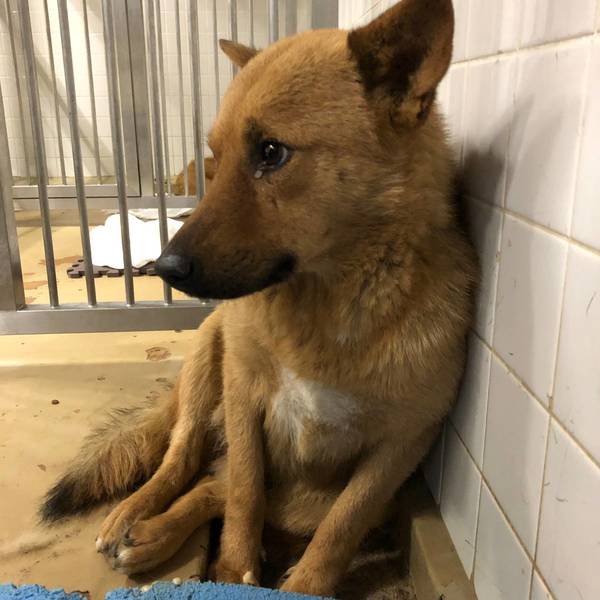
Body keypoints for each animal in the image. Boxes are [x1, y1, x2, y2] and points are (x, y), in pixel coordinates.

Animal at [41, 0, 477, 596]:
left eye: (271, 152)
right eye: (215, 156)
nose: (165, 268)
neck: (324, 305)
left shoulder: (401, 444)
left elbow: (340, 527)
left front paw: (301, 586)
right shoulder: (243, 393)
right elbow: (245, 493)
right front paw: (230, 573)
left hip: (307, 496)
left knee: (216, 488)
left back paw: (152, 534)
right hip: (207, 358)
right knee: (185, 458)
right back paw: (136, 517)